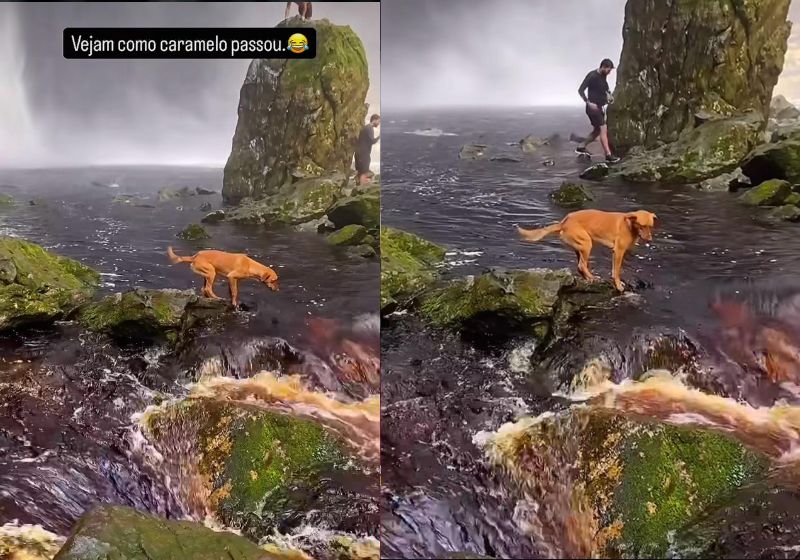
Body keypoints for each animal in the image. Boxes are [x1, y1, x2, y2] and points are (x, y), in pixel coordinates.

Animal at [520, 208, 656, 290]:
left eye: (650, 226)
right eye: (642, 226)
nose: (650, 240)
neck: (629, 225)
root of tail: (564, 222)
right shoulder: (618, 252)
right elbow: (616, 271)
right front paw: (618, 285)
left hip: (580, 246)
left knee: (580, 266)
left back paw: (587, 278)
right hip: (587, 244)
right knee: (582, 265)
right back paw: (592, 277)